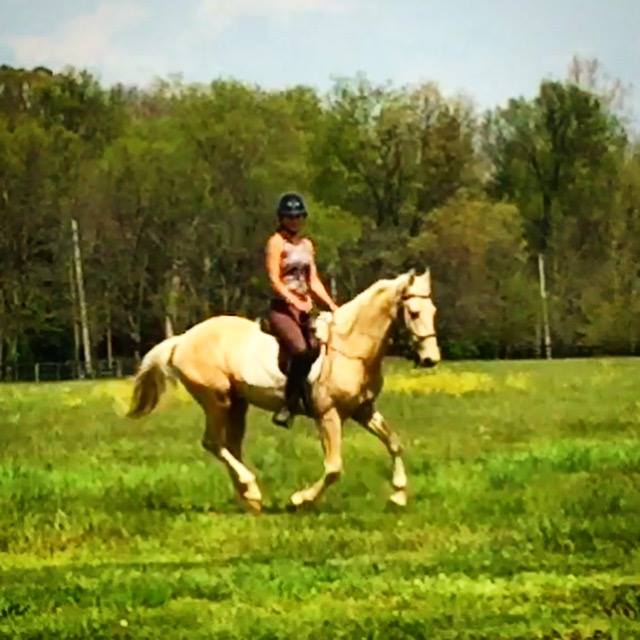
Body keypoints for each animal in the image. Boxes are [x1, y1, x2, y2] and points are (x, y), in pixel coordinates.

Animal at [127, 268, 440, 512]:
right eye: (414, 312)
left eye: (433, 311)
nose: (430, 359)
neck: (351, 347)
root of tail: (182, 339)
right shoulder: (328, 415)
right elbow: (333, 467)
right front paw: (300, 500)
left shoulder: (363, 410)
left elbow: (394, 443)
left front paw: (398, 497)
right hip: (217, 400)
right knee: (213, 443)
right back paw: (251, 489)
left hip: (238, 403)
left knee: (231, 446)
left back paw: (250, 499)